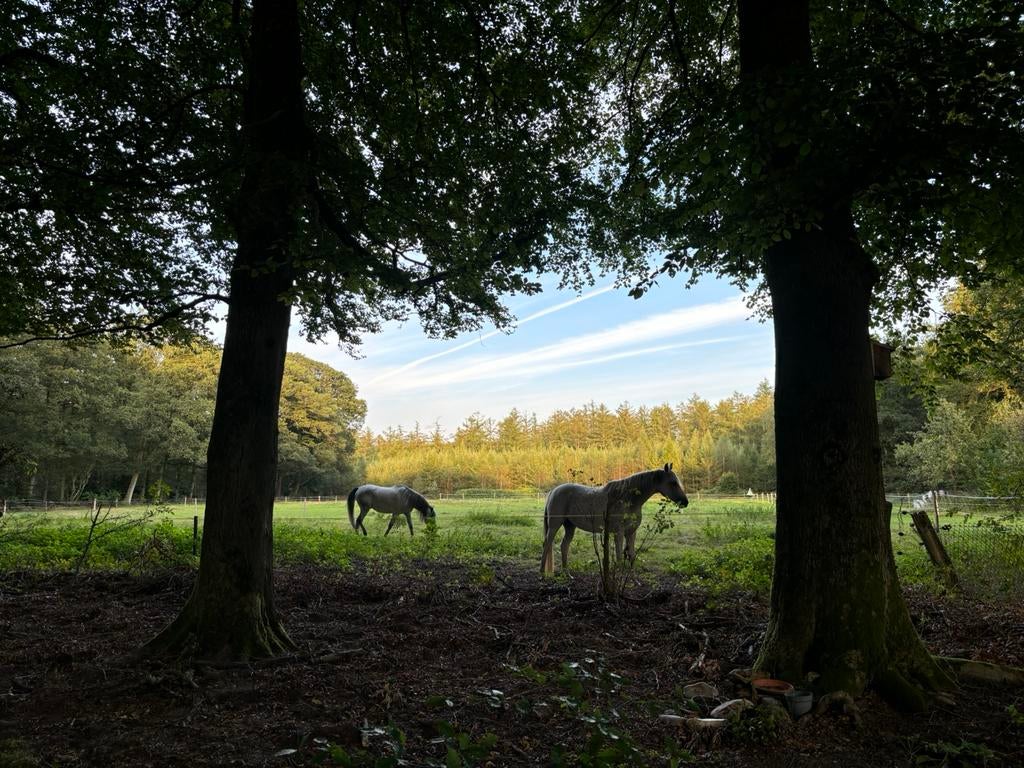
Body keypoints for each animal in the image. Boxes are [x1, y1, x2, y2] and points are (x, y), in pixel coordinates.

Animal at [541, 463, 688, 574]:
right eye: (673, 483)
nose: (685, 502)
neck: (627, 499)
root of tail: (553, 491)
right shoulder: (619, 533)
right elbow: (618, 557)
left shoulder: (631, 532)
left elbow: (631, 556)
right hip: (554, 525)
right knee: (547, 544)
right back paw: (542, 573)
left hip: (570, 526)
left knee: (564, 546)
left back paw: (567, 573)